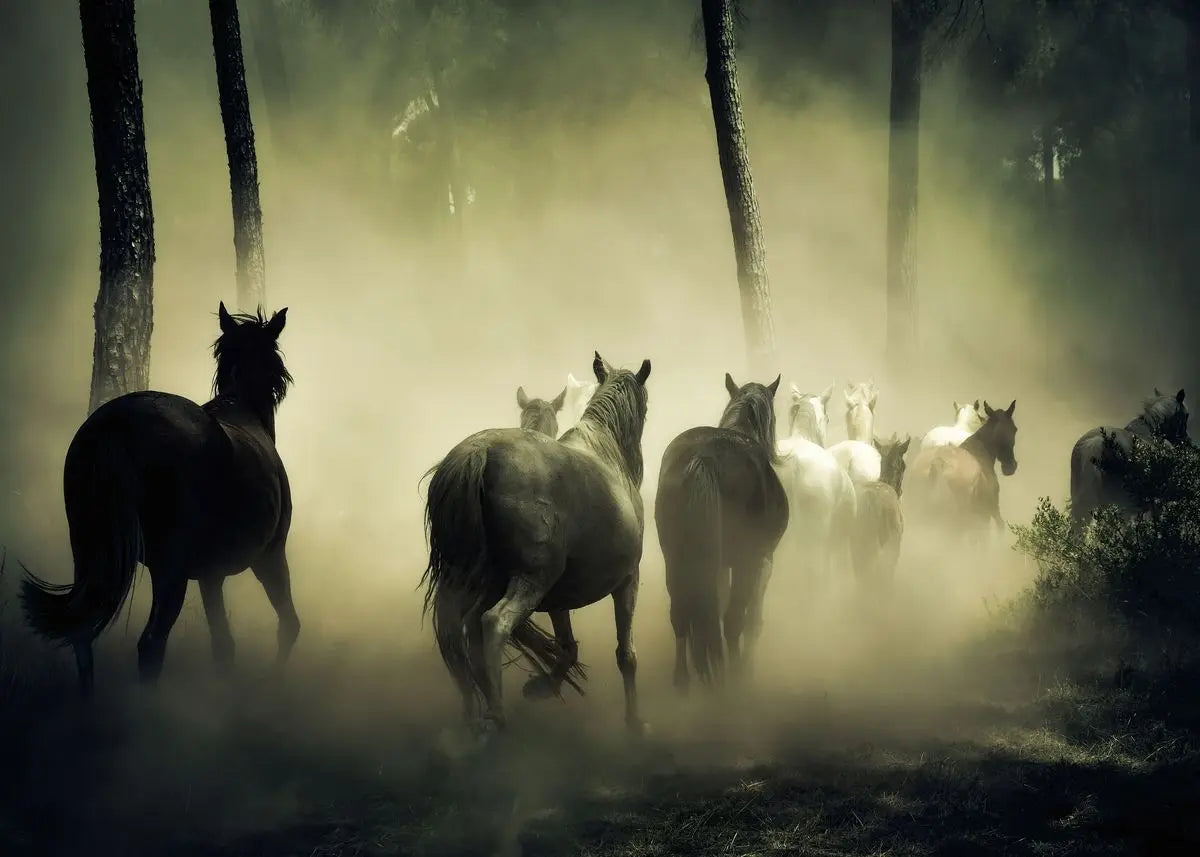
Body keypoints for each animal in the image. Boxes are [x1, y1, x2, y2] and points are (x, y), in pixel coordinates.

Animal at [21, 303, 300, 696]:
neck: (242, 408)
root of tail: (117, 423)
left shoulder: (211, 576)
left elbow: (223, 646)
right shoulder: (270, 556)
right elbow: (288, 625)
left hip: (88, 552)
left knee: (82, 635)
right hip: (171, 570)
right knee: (151, 644)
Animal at [421, 352, 652, 736]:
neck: (607, 454)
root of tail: (479, 453)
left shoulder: (559, 595)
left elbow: (567, 647)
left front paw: (542, 686)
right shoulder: (627, 580)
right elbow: (626, 655)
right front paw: (635, 722)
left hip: (474, 581)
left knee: (456, 634)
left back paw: (471, 716)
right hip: (531, 580)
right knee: (492, 624)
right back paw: (496, 717)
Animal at [655, 373, 788, 690]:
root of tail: (705, 458)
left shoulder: (715, 565)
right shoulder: (763, 560)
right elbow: (752, 621)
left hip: (675, 558)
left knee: (681, 613)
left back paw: (683, 679)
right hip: (744, 562)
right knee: (732, 621)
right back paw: (734, 680)